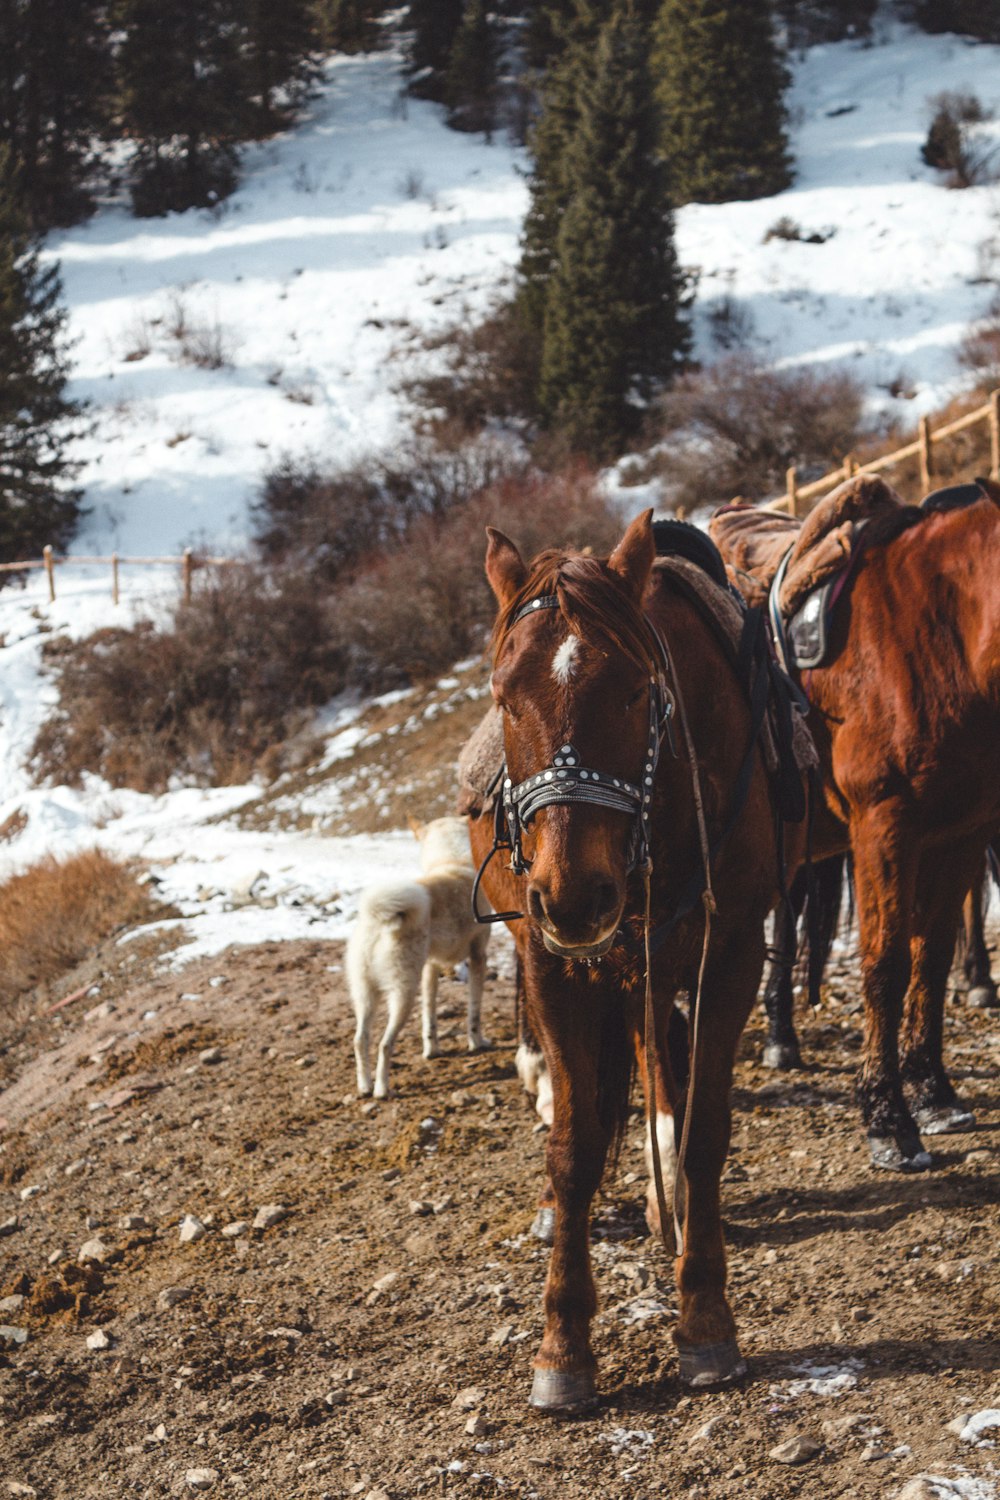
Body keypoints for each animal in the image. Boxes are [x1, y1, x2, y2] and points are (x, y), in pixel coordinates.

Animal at [347, 816, 491, 1098]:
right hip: (403, 993)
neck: (451, 860)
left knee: (360, 1040)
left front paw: (432, 1050)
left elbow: (430, 1018)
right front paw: (477, 1042)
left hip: (366, 995)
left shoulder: (430, 968)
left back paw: (365, 1086)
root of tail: (378, 918)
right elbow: (474, 1013)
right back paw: (381, 1089)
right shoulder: (478, 957)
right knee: (384, 1044)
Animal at [467, 510, 803, 1410]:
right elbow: (574, 1149)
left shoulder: (731, 952)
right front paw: (563, 1345)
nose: (574, 894)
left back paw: (667, 1202)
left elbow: (705, 1130)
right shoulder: (553, 968)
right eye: (505, 695)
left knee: (661, 1063)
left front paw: (706, 1320)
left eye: (632, 690)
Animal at [710, 480, 1000, 1170]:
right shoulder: (885, 827)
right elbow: (886, 964)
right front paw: (888, 1119)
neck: (945, 628)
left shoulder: (961, 833)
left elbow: (931, 956)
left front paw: (933, 1091)